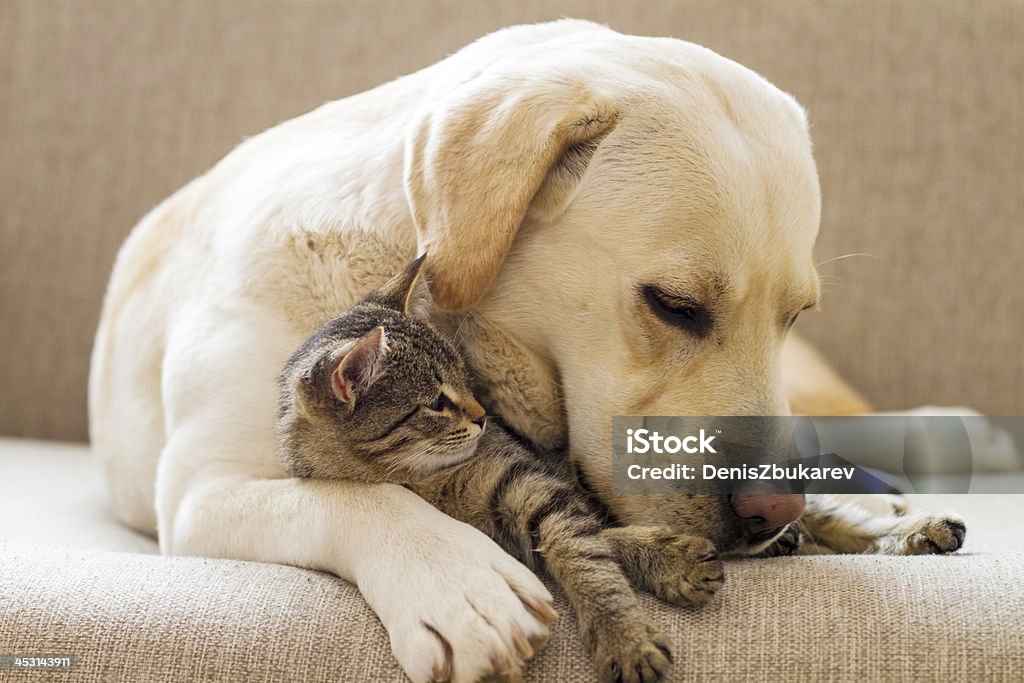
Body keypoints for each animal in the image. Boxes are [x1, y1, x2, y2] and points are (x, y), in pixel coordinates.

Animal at [280, 258, 724, 683]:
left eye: (465, 377)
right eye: (438, 403)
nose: (483, 417)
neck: (422, 477)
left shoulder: (535, 486)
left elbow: (587, 553)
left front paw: (625, 631)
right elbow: (593, 543)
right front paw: (660, 571)